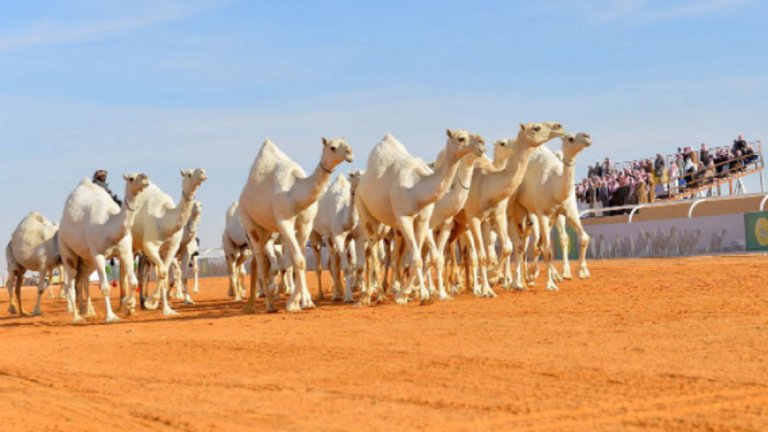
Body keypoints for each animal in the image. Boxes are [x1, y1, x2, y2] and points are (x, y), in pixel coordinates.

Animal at [59, 174, 149, 322]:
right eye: (131, 178)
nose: (145, 178)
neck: (109, 227)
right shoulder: (98, 254)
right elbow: (105, 287)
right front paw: (111, 316)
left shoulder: (126, 252)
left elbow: (133, 282)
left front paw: (128, 305)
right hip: (67, 250)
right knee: (70, 284)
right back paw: (77, 317)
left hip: (87, 259)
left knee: (84, 279)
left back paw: (89, 312)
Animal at [134, 167, 208, 316]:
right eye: (189, 174)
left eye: (201, 204)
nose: (202, 172)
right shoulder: (155, 247)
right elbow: (168, 276)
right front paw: (154, 301)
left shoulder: (179, 250)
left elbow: (175, 276)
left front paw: (171, 306)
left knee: (145, 276)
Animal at [238, 137, 356, 312]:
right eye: (332, 147)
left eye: (346, 142)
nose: (350, 153)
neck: (295, 194)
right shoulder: (284, 222)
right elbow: (299, 261)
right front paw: (293, 303)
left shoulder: (305, 224)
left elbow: (301, 261)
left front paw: (304, 302)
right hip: (250, 223)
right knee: (260, 261)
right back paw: (269, 305)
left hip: (267, 230)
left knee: (256, 262)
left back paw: (251, 305)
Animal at [356, 130, 484, 306]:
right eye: (461, 138)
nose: (481, 143)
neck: (417, 191)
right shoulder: (408, 219)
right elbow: (421, 258)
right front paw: (419, 293)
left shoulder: (429, 222)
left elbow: (430, 258)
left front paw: (431, 293)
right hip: (365, 212)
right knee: (373, 252)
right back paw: (372, 295)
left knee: (388, 255)